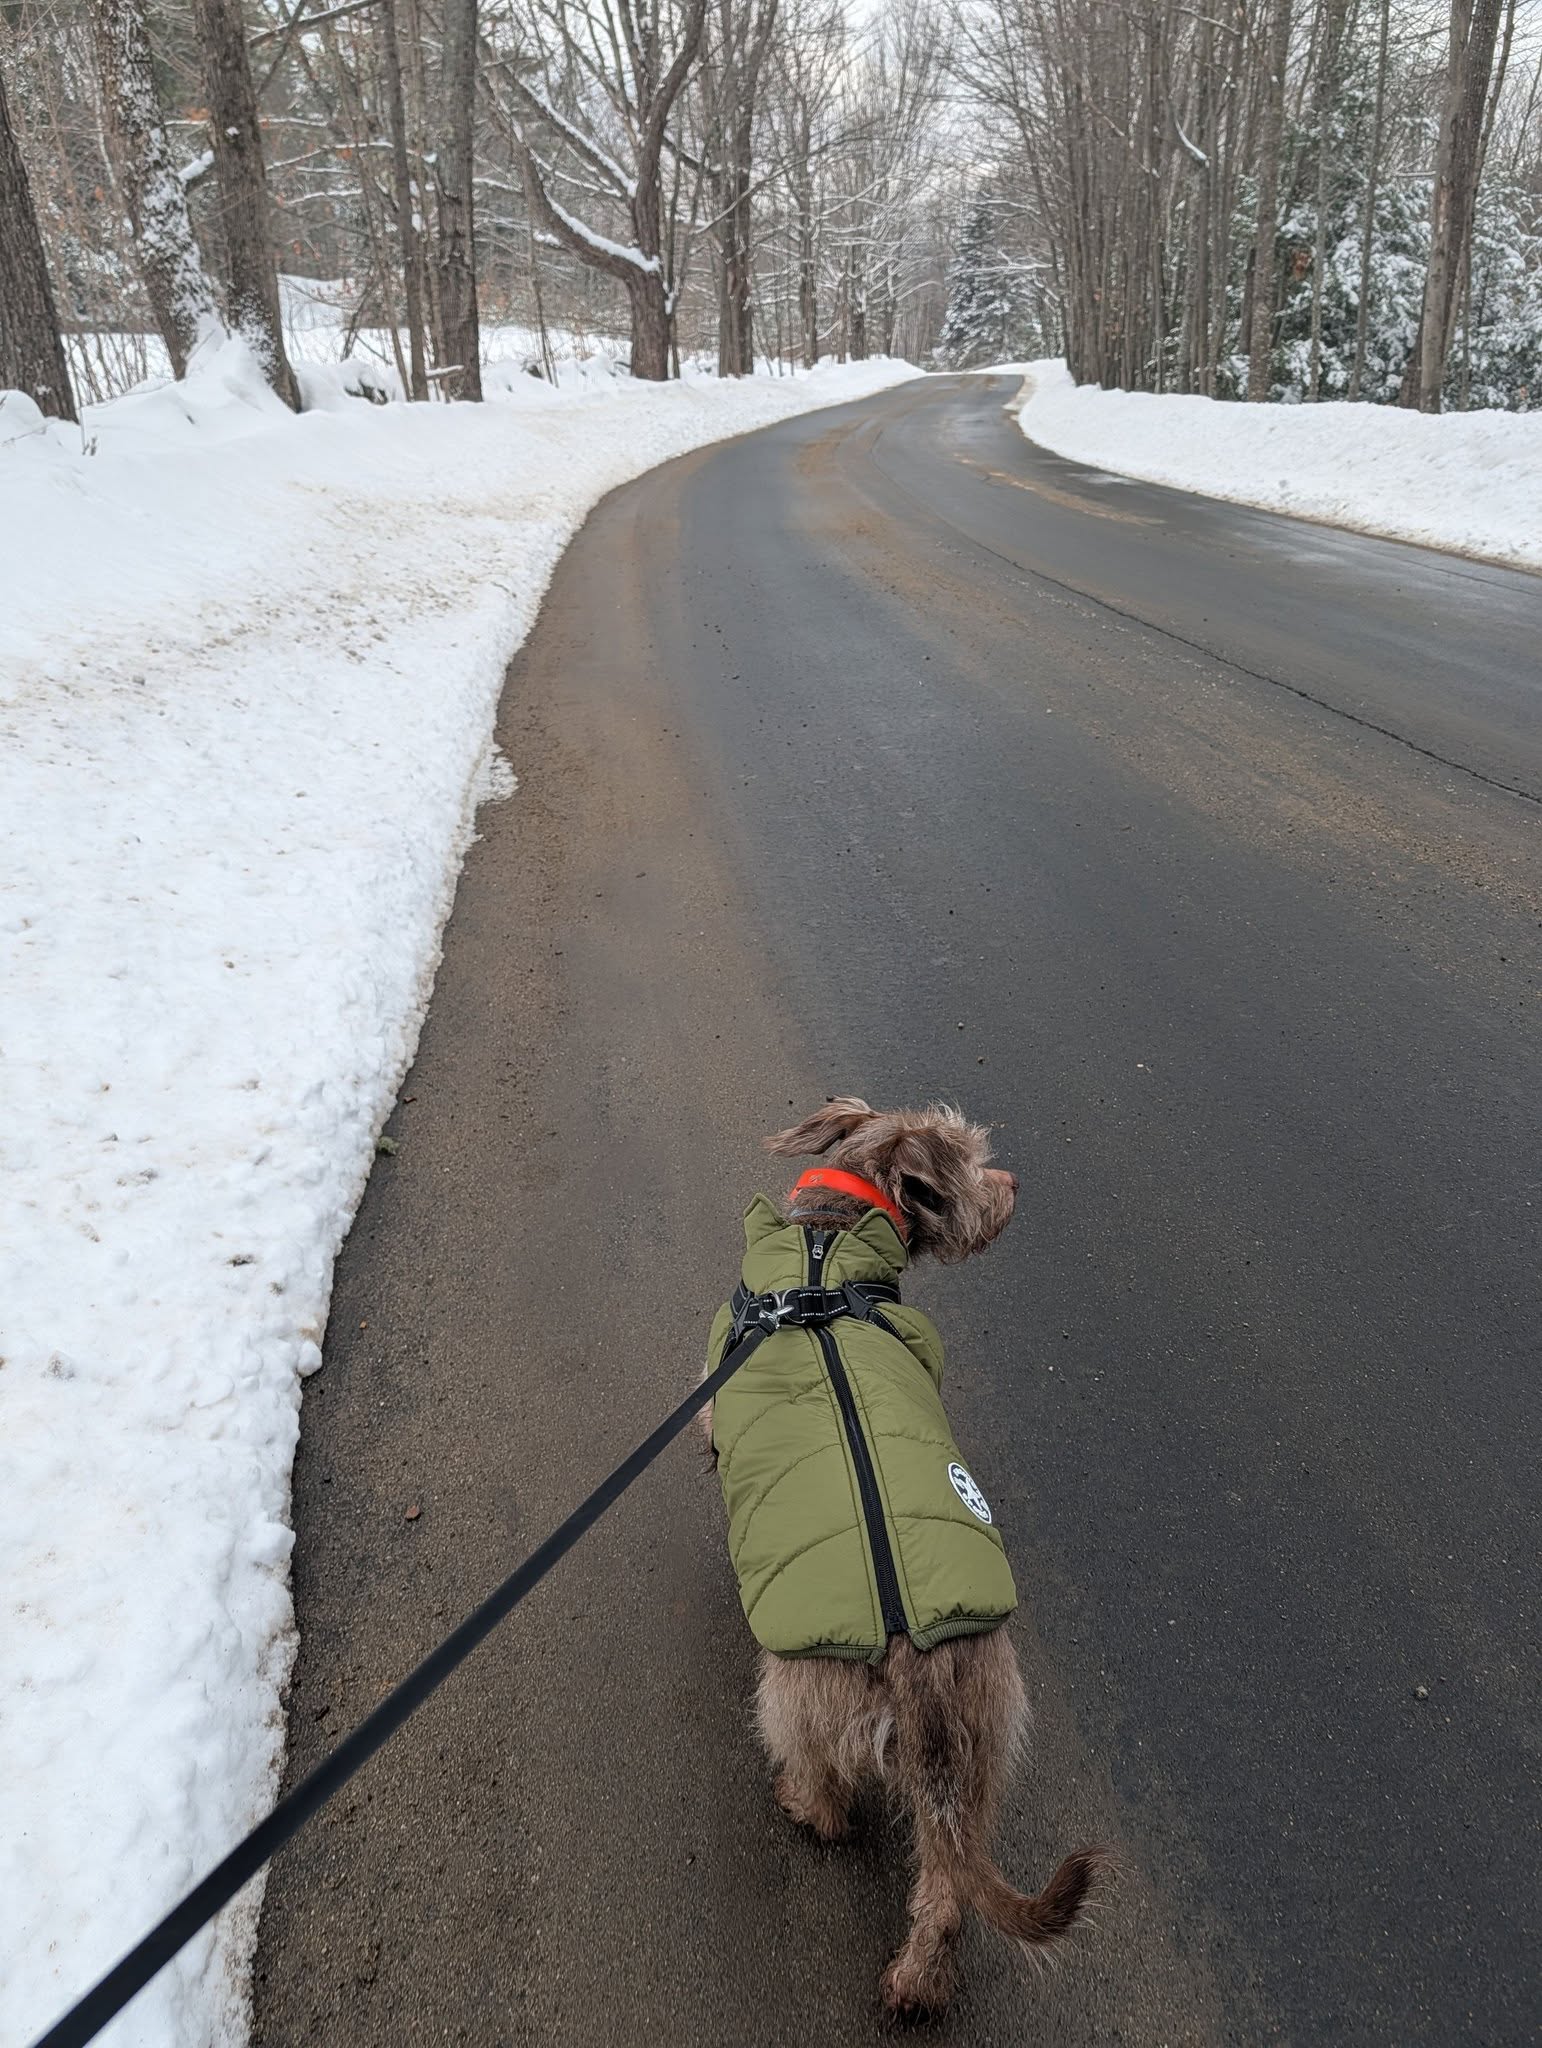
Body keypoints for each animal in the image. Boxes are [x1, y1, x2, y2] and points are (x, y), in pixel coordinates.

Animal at [702, 1097, 1105, 2014]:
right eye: (970, 1159)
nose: (1013, 1184)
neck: (825, 1260)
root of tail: (917, 1666)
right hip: (985, 1744)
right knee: (947, 1889)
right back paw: (919, 1983)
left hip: (796, 1696)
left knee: (825, 1789)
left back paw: (804, 1805)